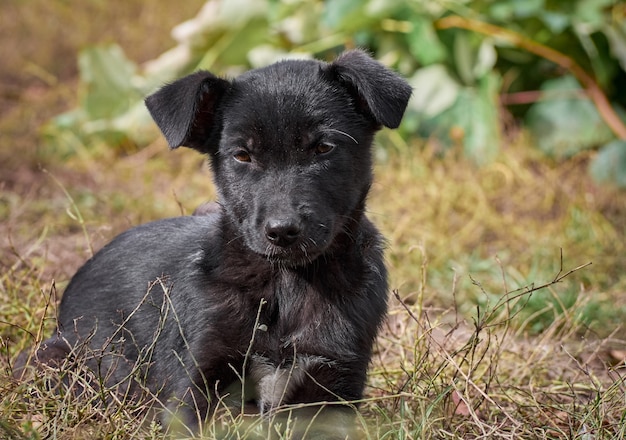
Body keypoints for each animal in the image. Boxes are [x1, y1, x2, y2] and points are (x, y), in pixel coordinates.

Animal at [30, 49, 410, 436]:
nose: (282, 231)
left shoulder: (335, 387)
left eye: (322, 148)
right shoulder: (193, 384)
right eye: (242, 155)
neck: (286, 283)